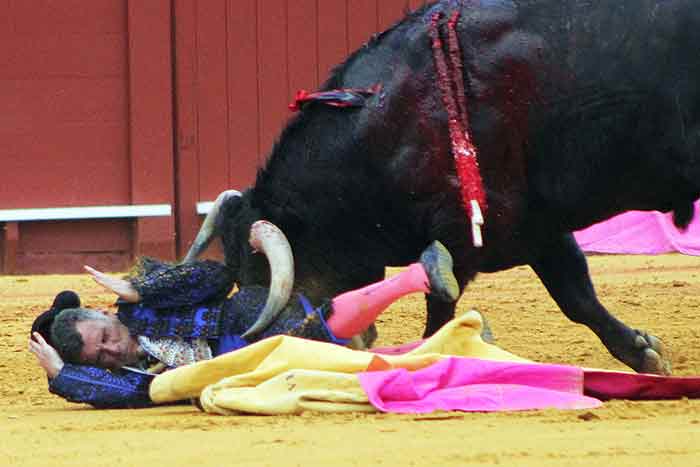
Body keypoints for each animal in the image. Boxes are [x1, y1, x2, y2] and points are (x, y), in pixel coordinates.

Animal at [183, 0, 696, 376]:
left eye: (263, 279)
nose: (256, 350)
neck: (390, 125)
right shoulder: (536, 225)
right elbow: (576, 295)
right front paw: (644, 353)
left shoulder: (462, 236)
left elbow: (440, 310)